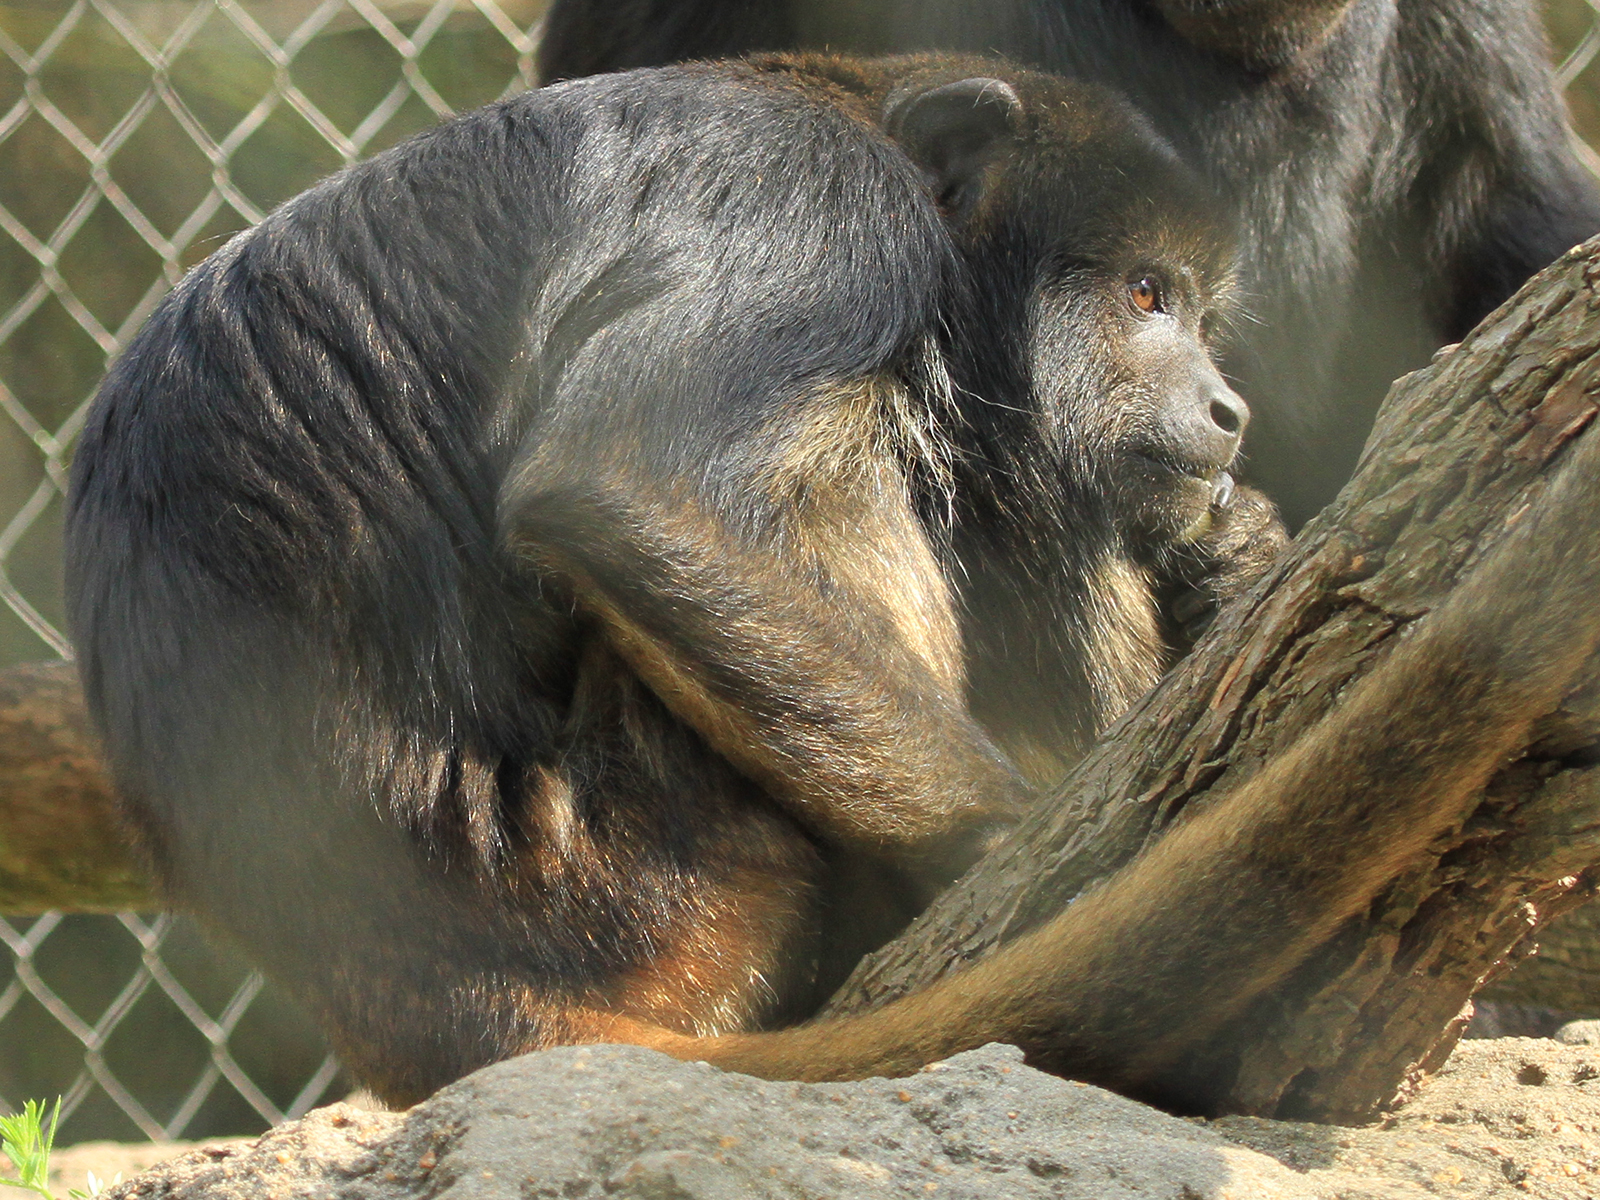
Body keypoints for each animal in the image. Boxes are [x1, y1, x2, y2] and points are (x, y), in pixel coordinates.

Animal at [65, 54, 1285, 1111]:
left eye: (1190, 308)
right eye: (1145, 297)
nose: (1229, 405)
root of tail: (407, 998)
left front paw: (1235, 561)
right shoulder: (819, 206)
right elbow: (621, 487)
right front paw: (994, 838)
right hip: (640, 881)